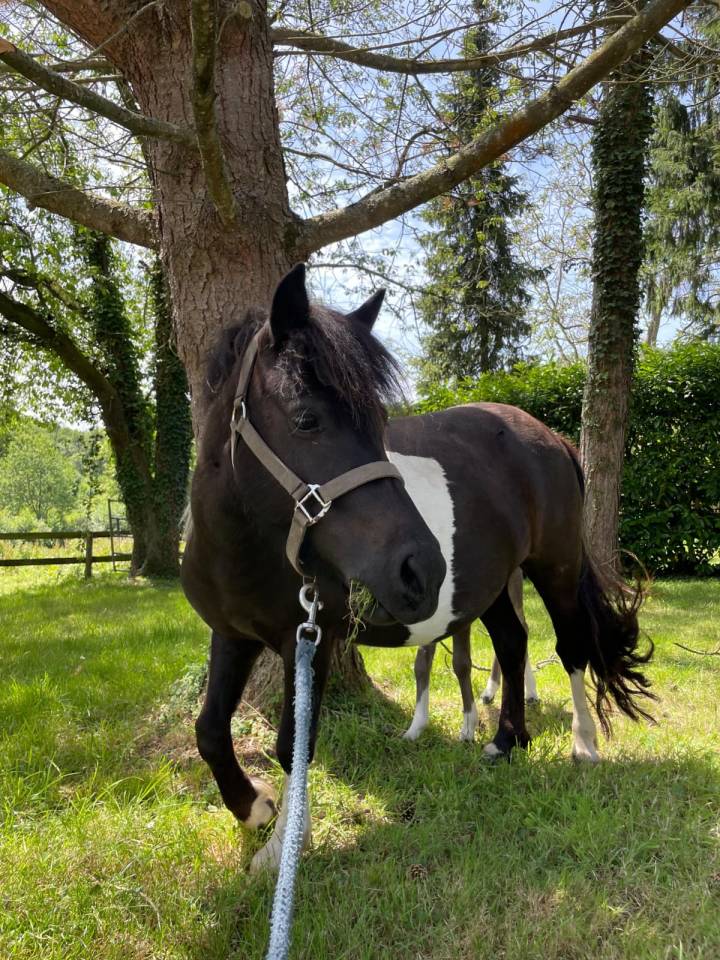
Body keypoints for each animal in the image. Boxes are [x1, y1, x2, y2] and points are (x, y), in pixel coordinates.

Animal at [403, 569, 539, 743]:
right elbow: (421, 664)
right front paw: (415, 727)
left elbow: (460, 663)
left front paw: (468, 728)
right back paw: (490, 691)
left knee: (522, 627)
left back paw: (531, 693)